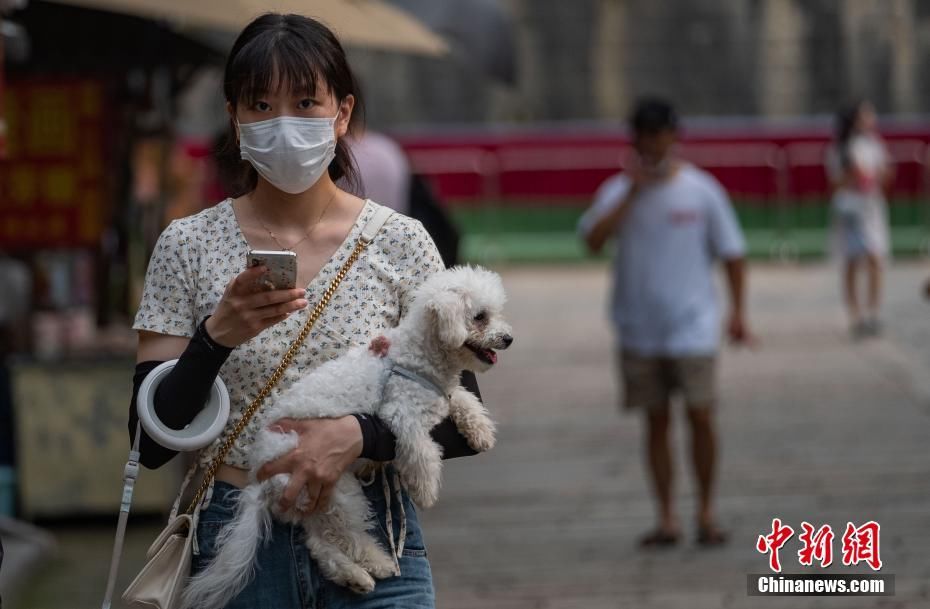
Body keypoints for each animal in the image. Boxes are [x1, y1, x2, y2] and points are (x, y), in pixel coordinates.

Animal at [179, 264, 516, 604]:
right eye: (480, 317)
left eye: (496, 313)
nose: (508, 338)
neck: (416, 354)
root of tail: (260, 482)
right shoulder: (401, 414)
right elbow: (422, 452)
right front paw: (425, 490)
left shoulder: (441, 395)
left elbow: (464, 398)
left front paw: (481, 430)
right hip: (336, 488)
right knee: (343, 535)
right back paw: (377, 562)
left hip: (315, 498)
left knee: (319, 542)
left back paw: (355, 576)